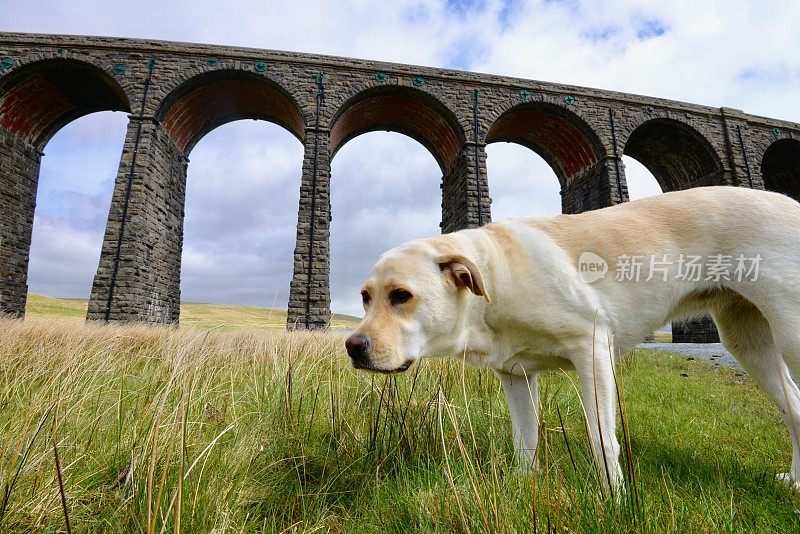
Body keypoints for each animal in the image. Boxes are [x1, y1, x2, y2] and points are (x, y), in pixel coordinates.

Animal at [346, 185, 800, 494]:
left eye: (401, 296)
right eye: (365, 297)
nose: (353, 346)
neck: (496, 278)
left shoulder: (591, 348)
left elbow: (603, 439)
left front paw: (616, 501)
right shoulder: (516, 377)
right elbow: (525, 441)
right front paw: (524, 487)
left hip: (790, 333)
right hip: (746, 341)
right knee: (794, 407)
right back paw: (794, 481)